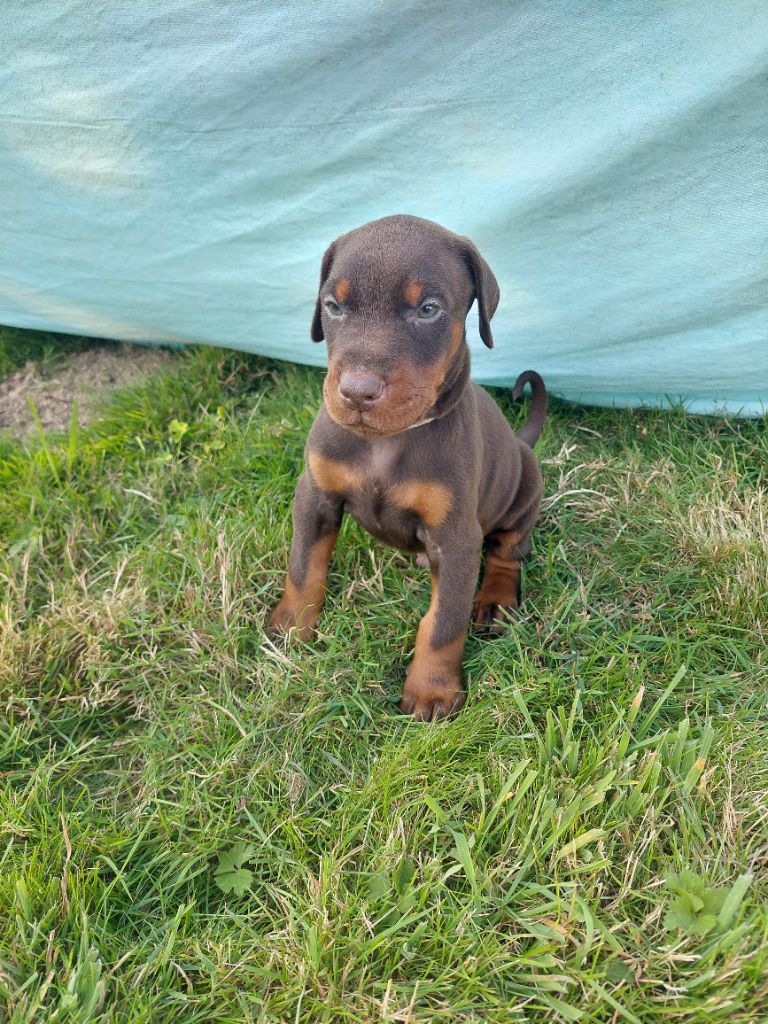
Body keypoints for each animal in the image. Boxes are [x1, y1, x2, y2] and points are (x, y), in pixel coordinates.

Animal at [270, 214, 548, 720]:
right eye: (333, 306)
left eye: (428, 310)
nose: (357, 392)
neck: (387, 442)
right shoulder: (315, 495)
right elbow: (303, 566)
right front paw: (291, 626)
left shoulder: (457, 539)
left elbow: (443, 623)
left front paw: (432, 690)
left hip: (525, 486)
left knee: (508, 550)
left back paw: (495, 600)